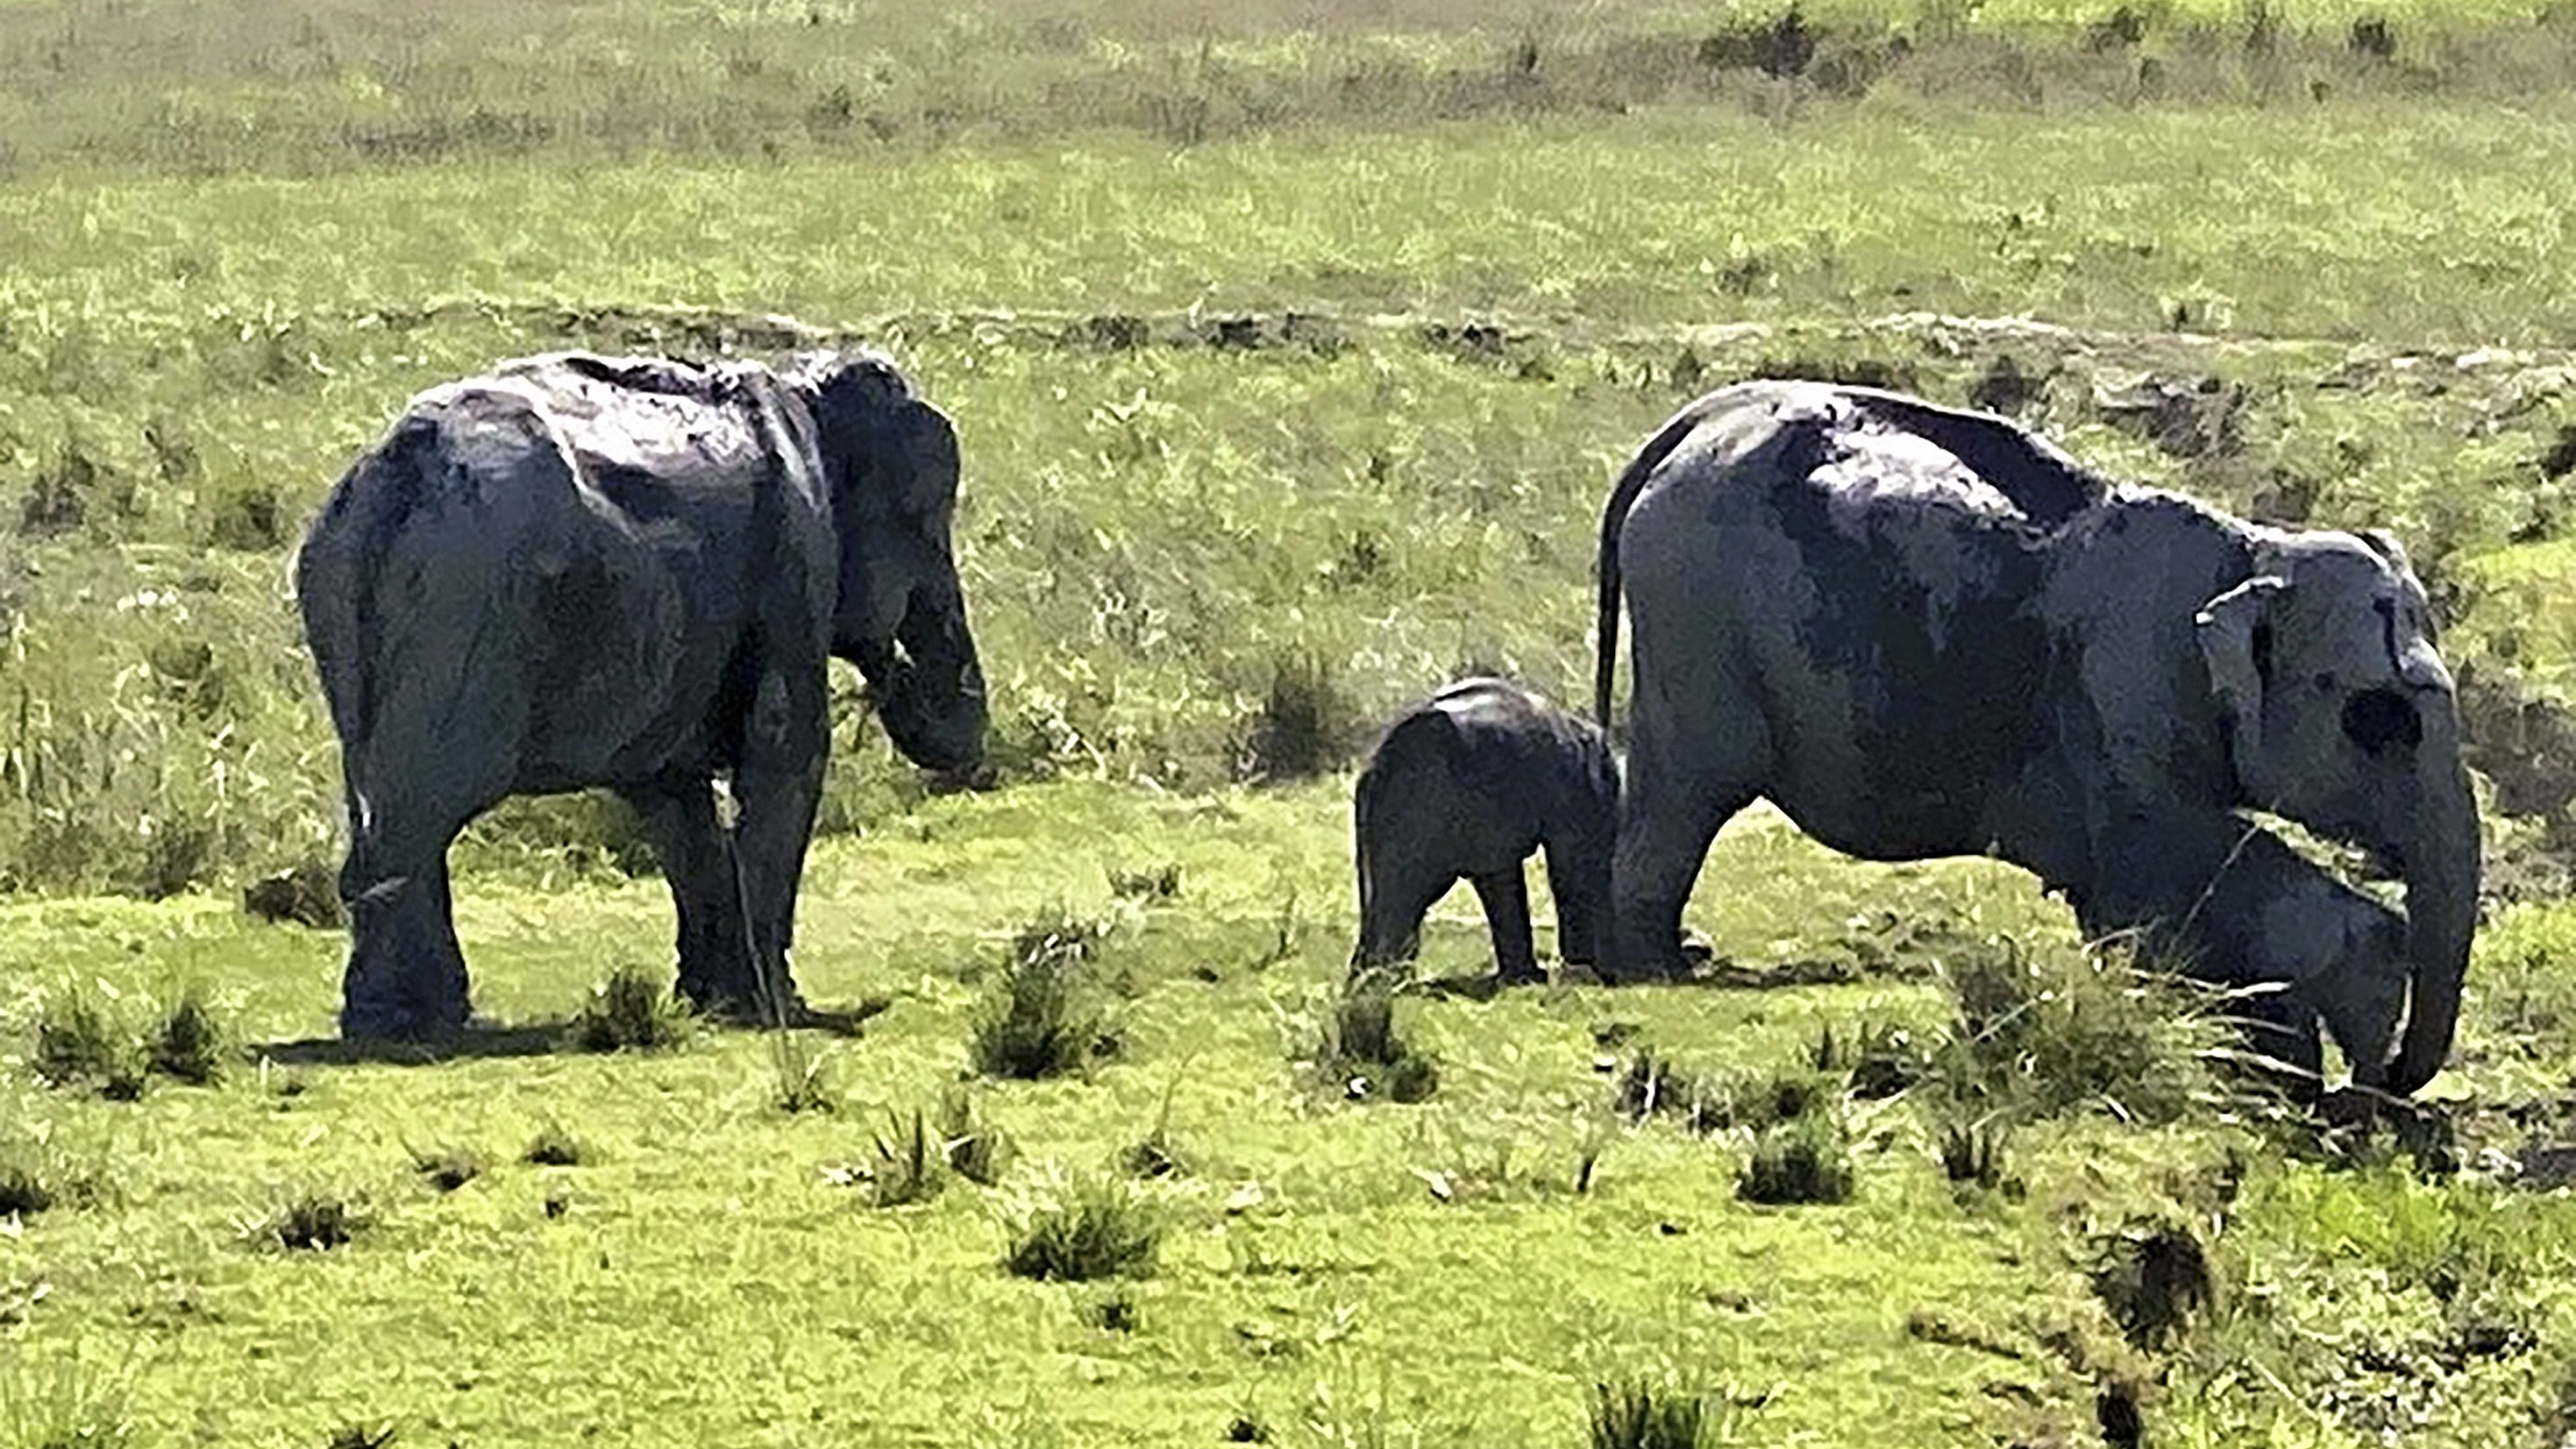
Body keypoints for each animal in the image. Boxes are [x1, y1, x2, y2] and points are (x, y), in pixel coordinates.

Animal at [294, 345, 984, 1039]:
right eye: (927, 532)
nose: (893, 671)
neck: (806, 388)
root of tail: (394, 475)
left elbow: (671, 793)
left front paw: (716, 1001)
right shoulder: (796, 561)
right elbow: (788, 751)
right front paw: (775, 1010)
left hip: (344, 601)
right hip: (466, 605)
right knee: (424, 811)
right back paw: (411, 1024)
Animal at [1586, 380, 2472, 1096]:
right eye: (2379, 720)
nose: (2390, 1079)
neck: (2250, 547)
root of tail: (1690, 426)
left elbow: (2140, 891)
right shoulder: (2120, 688)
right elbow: (2163, 860)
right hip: (1693, 612)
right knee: (1687, 795)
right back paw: (1659, 968)